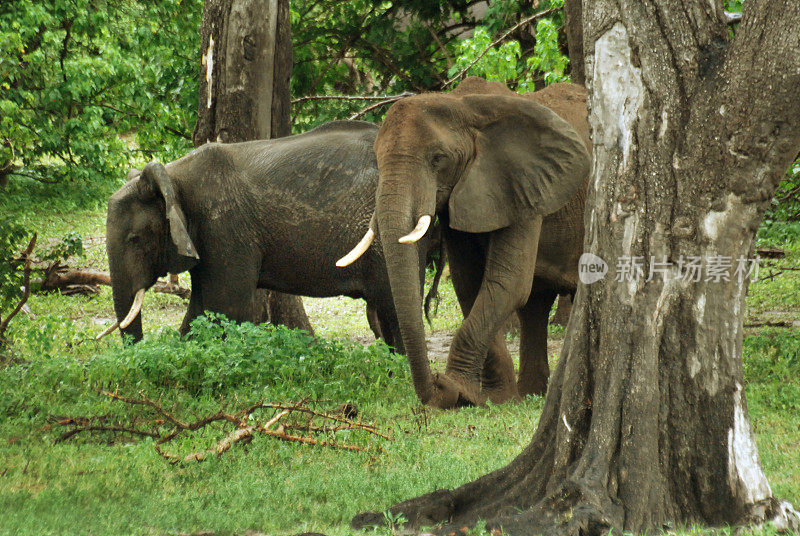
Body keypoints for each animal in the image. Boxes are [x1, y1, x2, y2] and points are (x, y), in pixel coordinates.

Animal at [104, 119, 438, 350]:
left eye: (135, 239)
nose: (136, 349)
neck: (173, 175)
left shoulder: (225, 226)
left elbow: (224, 307)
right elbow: (200, 309)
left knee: (393, 307)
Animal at [334, 77, 592, 408]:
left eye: (437, 159)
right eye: (377, 162)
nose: (435, 382)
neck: (463, 105)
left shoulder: (523, 185)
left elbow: (506, 284)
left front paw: (459, 392)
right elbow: (469, 284)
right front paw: (491, 398)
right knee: (536, 303)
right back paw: (529, 394)